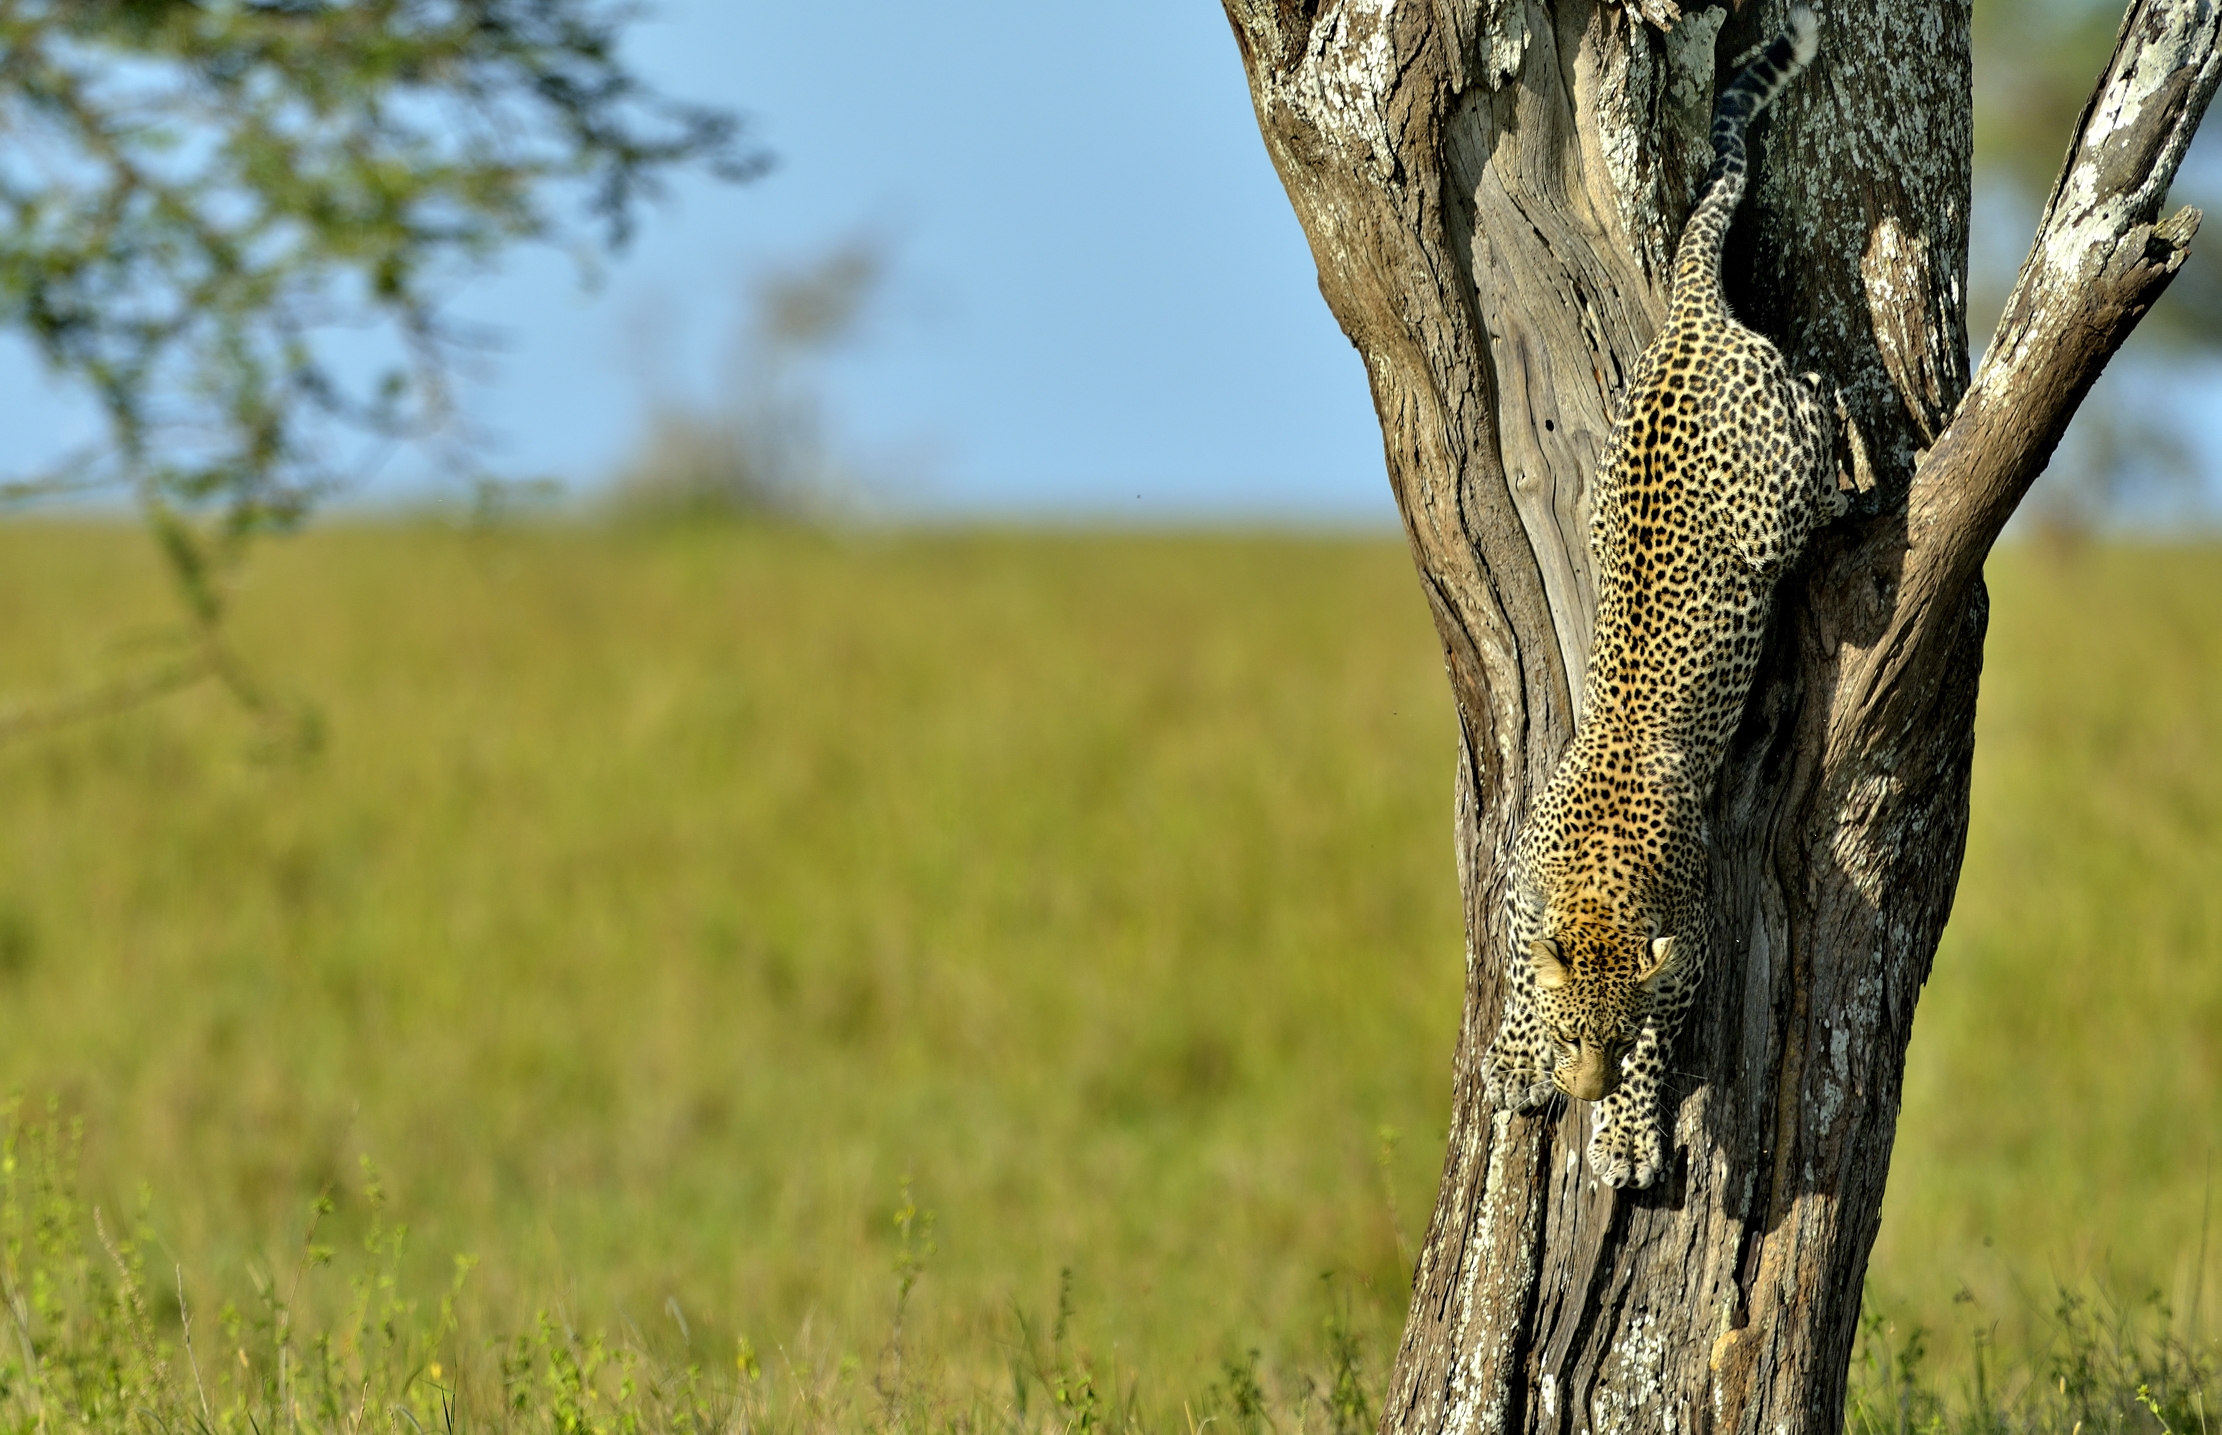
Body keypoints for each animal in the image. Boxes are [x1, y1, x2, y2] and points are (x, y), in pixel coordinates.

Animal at [1480, 3, 1870, 1189]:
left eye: (1609, 1040)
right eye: (1573, 1036)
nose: (1577, 1087)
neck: (1595, 885)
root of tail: (1692, 315)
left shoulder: (1688, 945)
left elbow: (1665, 1034)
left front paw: (1626, 1132)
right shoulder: (1521, 902)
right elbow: (1518, 968)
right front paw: (1512, 1052)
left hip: (1780, 485)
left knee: (1826, 395)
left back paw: (1865, 453)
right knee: (1818, 386)